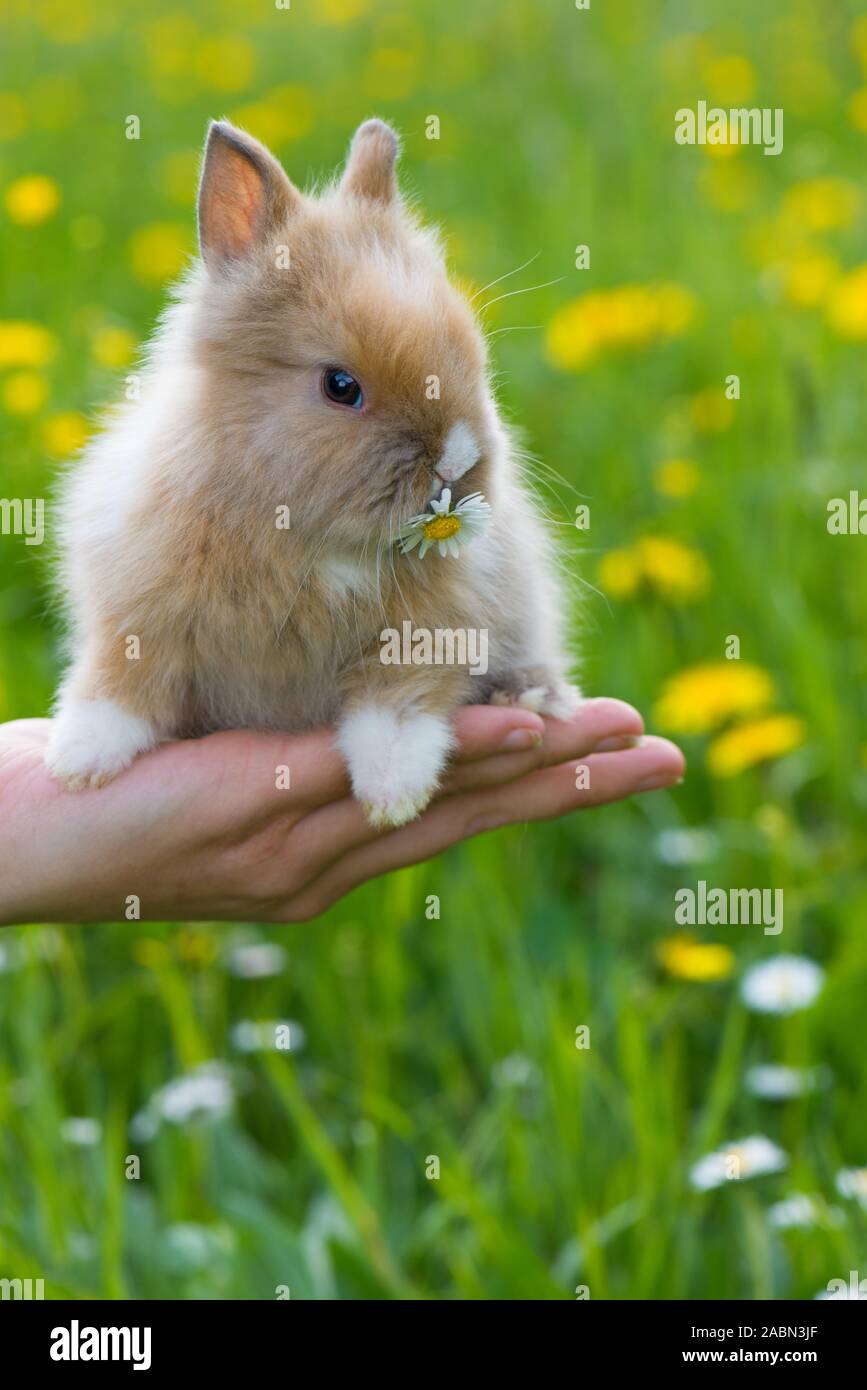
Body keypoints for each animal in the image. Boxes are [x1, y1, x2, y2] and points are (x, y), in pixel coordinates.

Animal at [45, 116, 580, 827]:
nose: (458, 462)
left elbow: (398, 705)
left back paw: (531, 697)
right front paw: (76, 764)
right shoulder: (136, 616)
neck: (309, 538)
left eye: (475, 360)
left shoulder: (432, 632)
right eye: (340, 386)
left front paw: (393, 795)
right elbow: (121, 686)